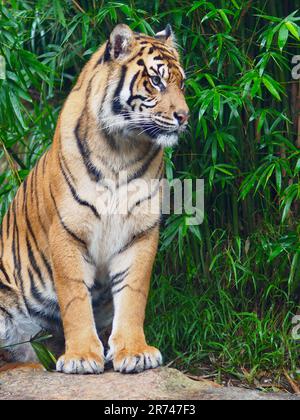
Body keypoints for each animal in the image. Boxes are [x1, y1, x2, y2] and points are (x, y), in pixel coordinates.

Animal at [0, 23, 189, 374]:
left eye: (180, 83)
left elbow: (133, 294)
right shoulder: (67, 231)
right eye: (156, 81)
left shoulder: (140, 232)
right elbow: (74, 297)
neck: (121, 149)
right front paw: (81, 356)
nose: (184, 116)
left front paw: (134, 351)